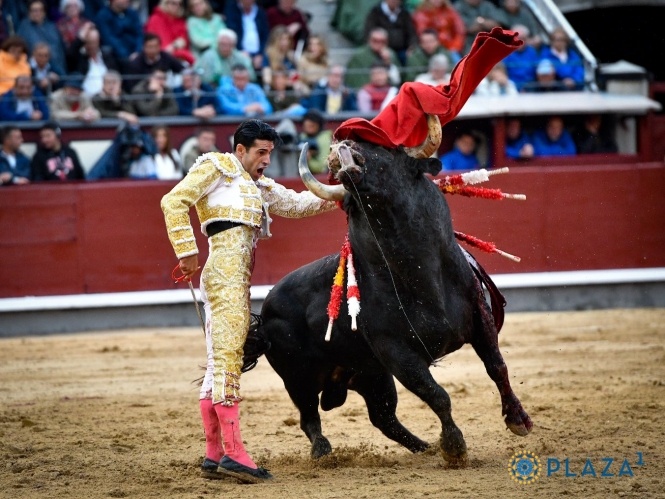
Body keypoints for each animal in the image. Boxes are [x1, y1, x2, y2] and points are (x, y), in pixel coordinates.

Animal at [243, 140, 528, 464]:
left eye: (388, 154)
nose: (344, 149)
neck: (420, 275)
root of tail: (264, 314)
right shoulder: (397, 355)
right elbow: (436, 394)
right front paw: (454, 447)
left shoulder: (481, 319)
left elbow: (497, 366)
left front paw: (518, 420)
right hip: (299, 377)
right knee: (309, 417)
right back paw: (323, 452)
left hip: (371, 375)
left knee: (383, 417)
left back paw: (424, 448)